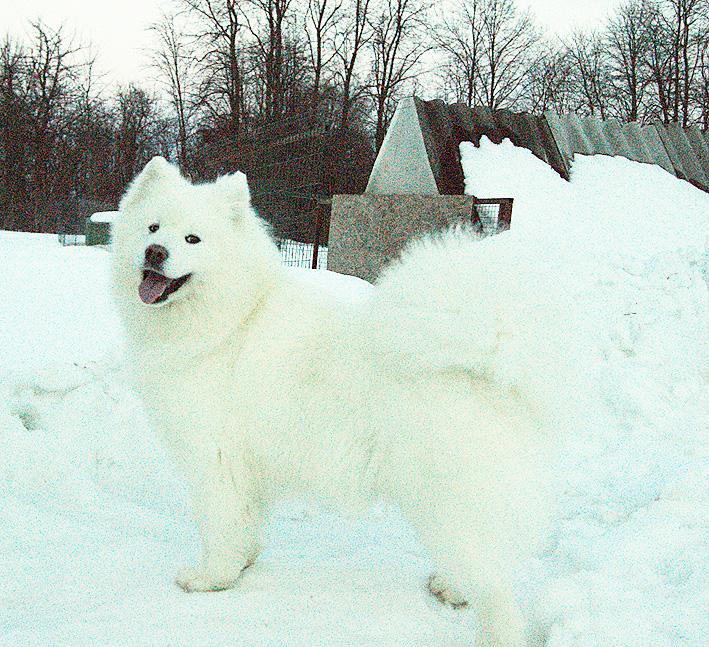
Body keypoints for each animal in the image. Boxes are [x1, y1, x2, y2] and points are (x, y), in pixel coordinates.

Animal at [112, 158, 576, 647]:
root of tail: (494, 366)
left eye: (192, 239)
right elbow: (246, 524)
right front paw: (244, 563)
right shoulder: (249, 468)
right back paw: (449, 586)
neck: (233, 319)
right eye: (153, 227)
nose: (155, 252)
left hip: (449, 500)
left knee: (496, 588)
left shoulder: (216, 461)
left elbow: (220, 526)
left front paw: (211, 579)